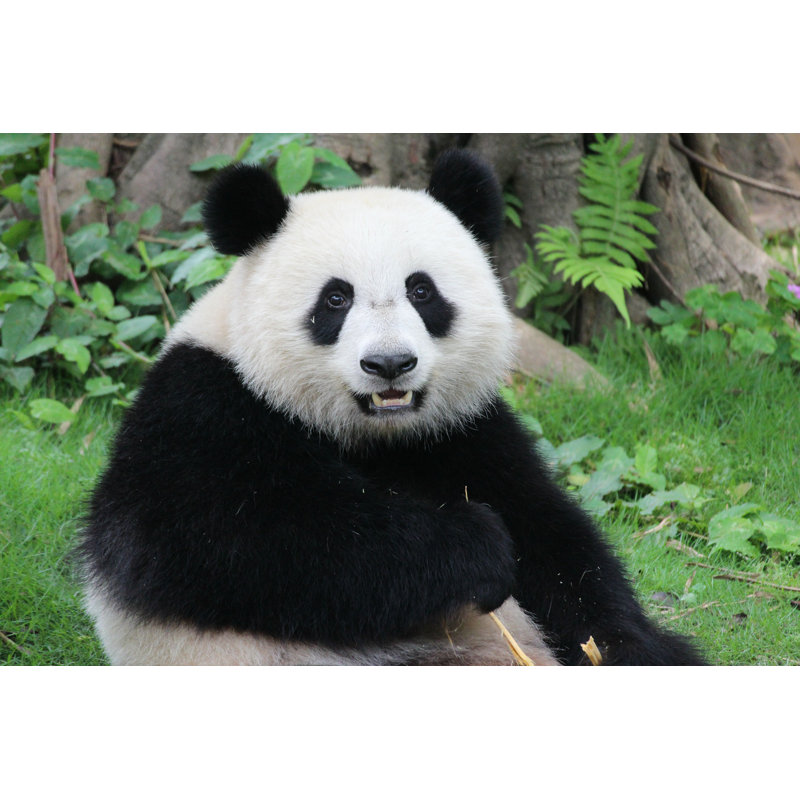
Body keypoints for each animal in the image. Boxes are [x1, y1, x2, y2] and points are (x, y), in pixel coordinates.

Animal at [79, 149, 705, 666]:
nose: (389, 364)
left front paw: (626, 647)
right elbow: (236, 544)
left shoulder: (463, 430)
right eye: (336, 298)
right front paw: (476, 546)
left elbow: (554, 540)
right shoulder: (202, 406)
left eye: (421, 291)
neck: (373, 435)